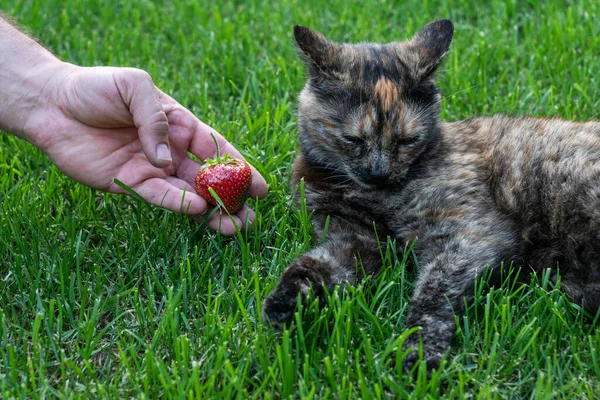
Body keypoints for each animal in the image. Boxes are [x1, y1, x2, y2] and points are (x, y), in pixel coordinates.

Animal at [262, 18, 600, 368]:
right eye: (353, 139)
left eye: (407, 140)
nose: (379, 172)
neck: (373, 195)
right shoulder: (351, 236)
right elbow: (315, 265)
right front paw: (285, 301)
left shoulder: (469, 234)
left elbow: (434, 291)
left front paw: (418, 349)